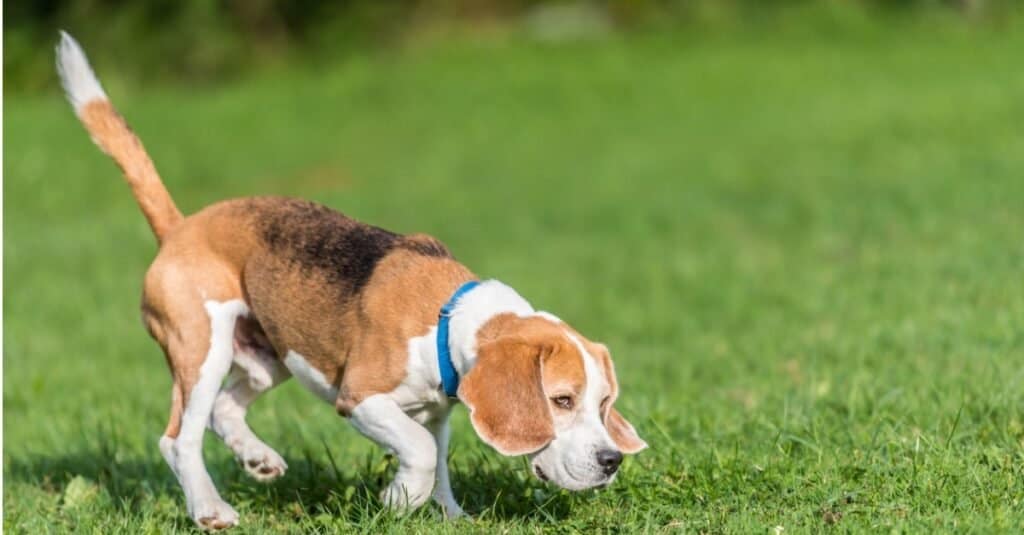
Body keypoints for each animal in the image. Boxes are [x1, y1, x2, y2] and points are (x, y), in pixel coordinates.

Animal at [56, 33, 643, 528]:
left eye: (603, 404)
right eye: (561, 400)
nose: (611, 460)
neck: (445, 319)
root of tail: (180, 227)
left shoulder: (439, 411)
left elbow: (439, 458)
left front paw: (448, 515)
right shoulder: (361, 396)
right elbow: (421, 452)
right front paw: (399, 500)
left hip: (272, 356)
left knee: (225, 409)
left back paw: (258, 459)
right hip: (202, 348)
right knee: (178, 439)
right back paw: (210, 509)